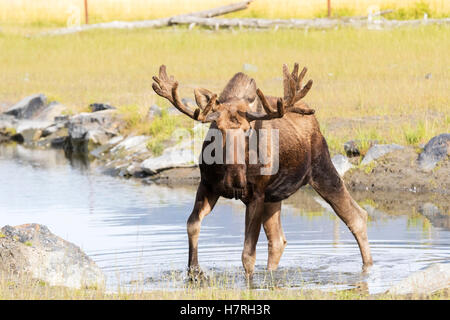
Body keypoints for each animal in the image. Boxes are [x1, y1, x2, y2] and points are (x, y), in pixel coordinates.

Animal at [152, 63, 372, 278]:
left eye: (247, 129)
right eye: (218, 128)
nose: (235, 180)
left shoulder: (255, 194)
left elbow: (248, 255)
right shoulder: (207, 185)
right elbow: (192, 225)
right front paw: (194, 272)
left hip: (322, 170)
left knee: (357, 217)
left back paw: (368, 267)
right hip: (273, 196)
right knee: (278, 240)